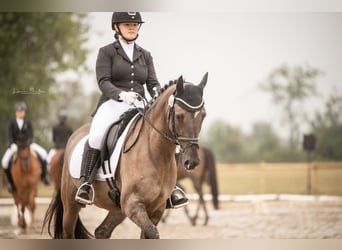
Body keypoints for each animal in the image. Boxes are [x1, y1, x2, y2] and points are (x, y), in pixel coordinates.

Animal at [42, 73, 208, 239]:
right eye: (179, 116)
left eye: (203, 115)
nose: (192, 161)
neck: (155, 154)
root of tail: (74, 135)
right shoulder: (132, 204)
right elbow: (153, 233)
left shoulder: (156, 209)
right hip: (71, 204)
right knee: (68, 231)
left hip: (117, 208)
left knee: (102, 231)